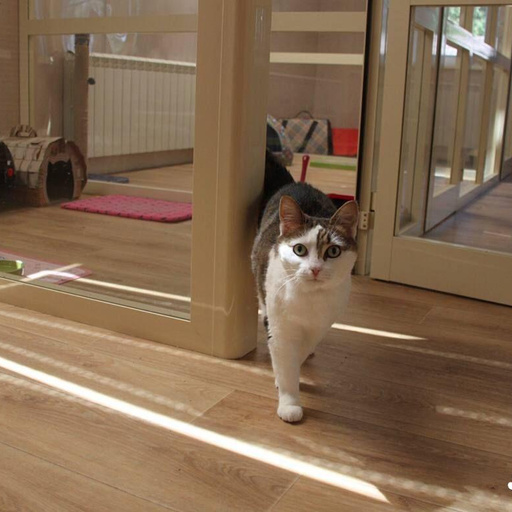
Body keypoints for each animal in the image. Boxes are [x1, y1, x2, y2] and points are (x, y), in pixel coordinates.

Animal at [251, 151, 358, 423]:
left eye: (333, 251)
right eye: (299, 249)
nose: (315, 269)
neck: (309, 299)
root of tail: (298, 183)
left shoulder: (321, 324)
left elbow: (299, 352)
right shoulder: (281, 326)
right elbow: (284, 358)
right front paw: (289, 402)